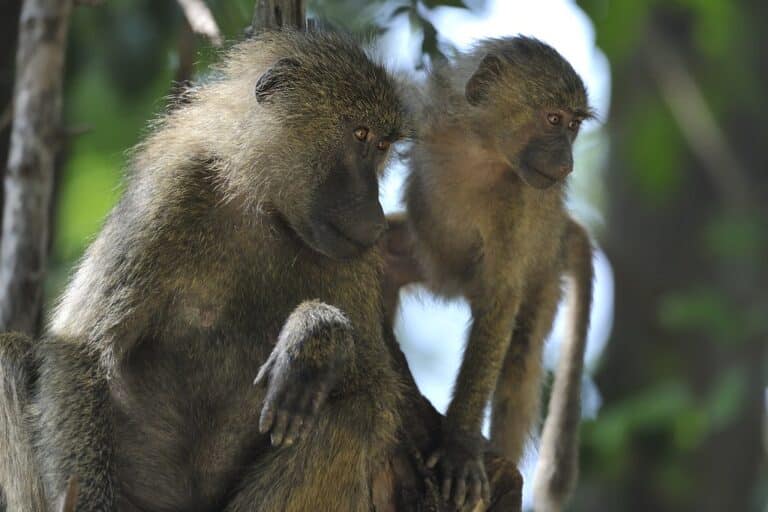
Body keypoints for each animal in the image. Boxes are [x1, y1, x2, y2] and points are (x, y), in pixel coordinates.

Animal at [0, 30, 411, 511]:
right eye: (360, 134)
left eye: (382, 146)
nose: (376, 217)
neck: (264, 207)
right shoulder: (175, 185)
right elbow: (81, 347)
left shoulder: (354, 256)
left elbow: (374, 386)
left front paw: (317, 337)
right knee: (8, 353)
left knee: (355, 411)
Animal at [381, 36, 595, 512]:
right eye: (554, 119)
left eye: (574, 125)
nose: (567, 165)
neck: (479, 154)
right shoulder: (426, 117)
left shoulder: (518, 204)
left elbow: (501, 301)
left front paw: (460, 447)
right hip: (425, 259)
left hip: (543, 273)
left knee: (519, 355)